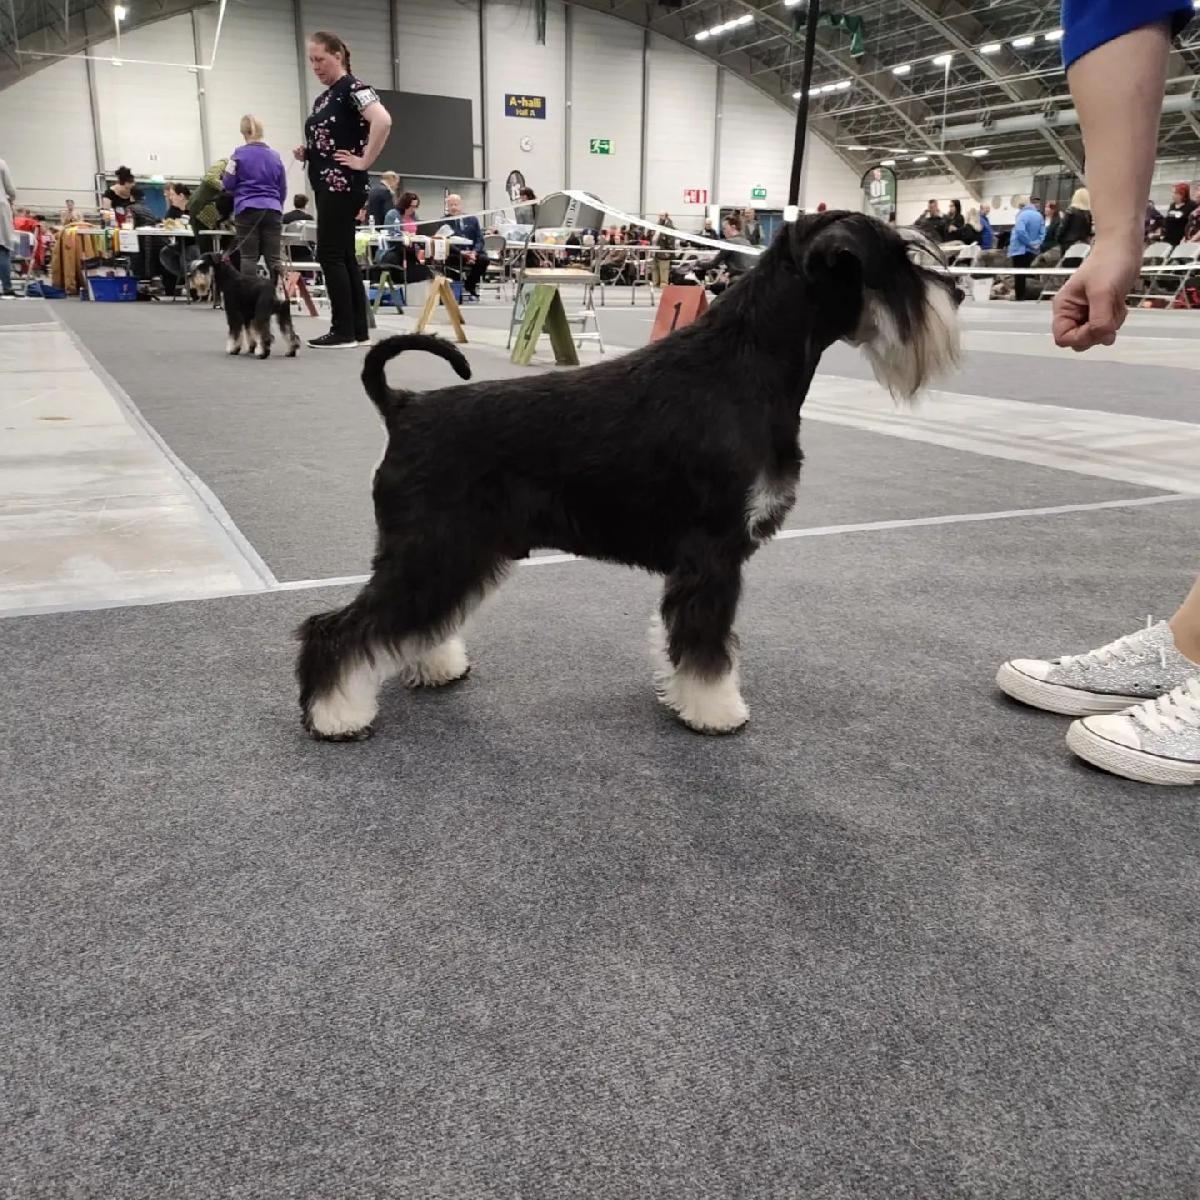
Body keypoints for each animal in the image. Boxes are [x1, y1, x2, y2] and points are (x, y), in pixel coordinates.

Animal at [296, 211, 961, 742]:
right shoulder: (714, 556)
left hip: (455, 552)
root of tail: (403, 407)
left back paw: (432, 666)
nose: (954, 290)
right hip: (432, 547)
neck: (748, 364)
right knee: (336, 628)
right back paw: (335, 716)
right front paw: (716, 711)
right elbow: (707, 648)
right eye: (898, 260)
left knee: (416, 619)